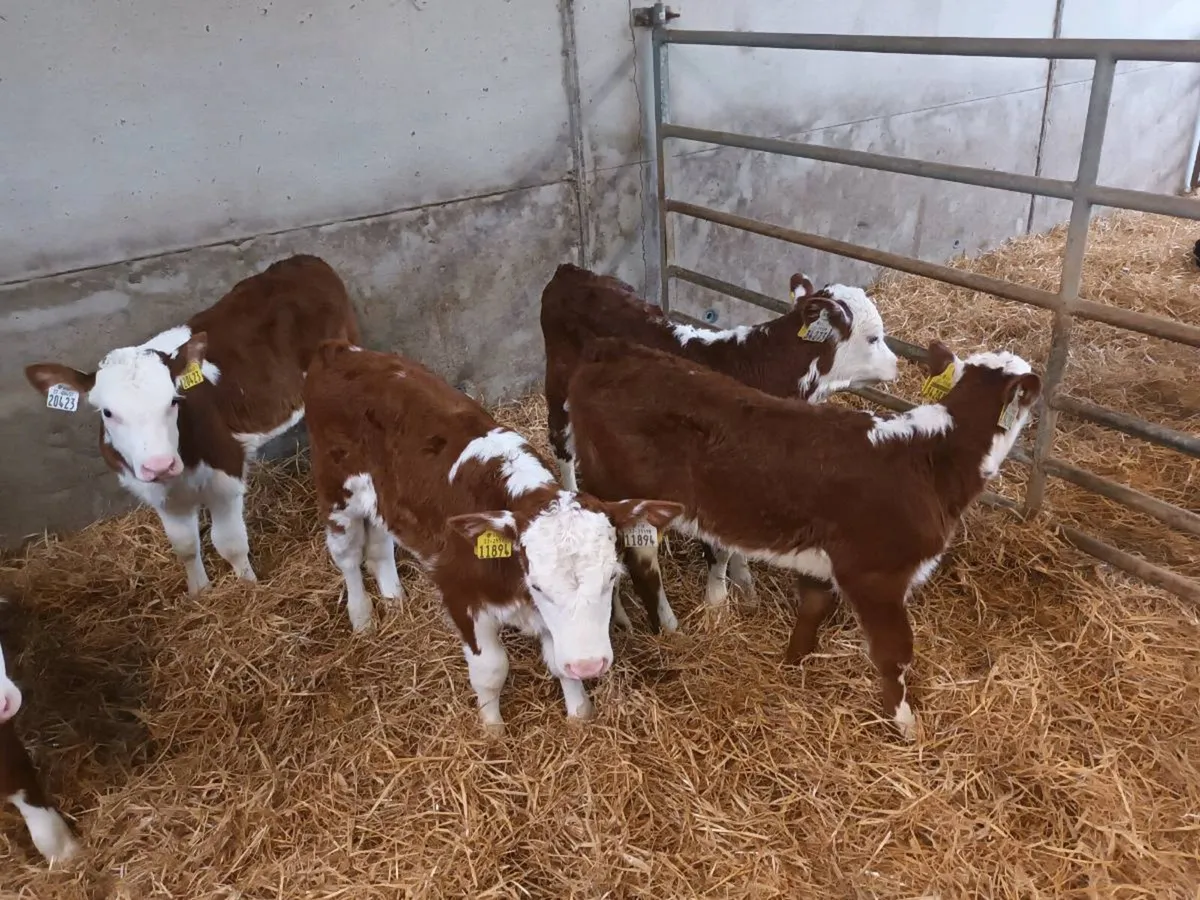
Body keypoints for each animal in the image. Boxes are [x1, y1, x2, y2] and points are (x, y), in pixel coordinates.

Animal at [25, 255, 360, 595]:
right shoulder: (153, 491)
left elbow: (230, 543)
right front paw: (199, 592)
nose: (159, 464)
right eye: (107, 412)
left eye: (174, 400)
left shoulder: (226, 473)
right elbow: (185, 546)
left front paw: (247, 587)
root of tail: (302, 260)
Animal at [303, 341, 682, 734]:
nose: (589, 664)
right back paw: (362, 618)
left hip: (383, 499)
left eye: (611, 577)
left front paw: (580, 713)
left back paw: (394, 598)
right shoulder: (460, 594)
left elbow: (558, 664)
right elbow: (491, 670)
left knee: (379, 544)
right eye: (539, 585)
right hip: (336, 493)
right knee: (347, 557)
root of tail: (339, 351)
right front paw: (493, 729)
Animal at [540, 263, 900, 630]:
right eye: (873, 337)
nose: (897, 365)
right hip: (559, 390)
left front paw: (745, 585)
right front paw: (717, 602)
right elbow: (720, 550)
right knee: (563, 450)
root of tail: (569, 271)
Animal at [564, 336, 1041, 739]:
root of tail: (611, 351)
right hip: (631, 499)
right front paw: (906, 724)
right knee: (642, 566)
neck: (931, 457)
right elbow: (894, 655)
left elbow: (812, 608)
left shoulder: (825, 559)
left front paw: (795, 662)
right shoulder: (876, 575)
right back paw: (666, 628)